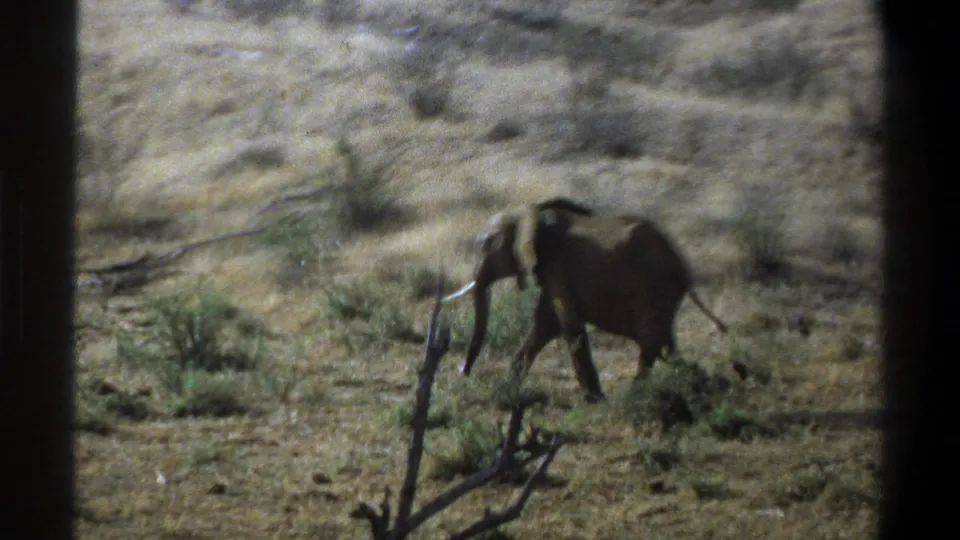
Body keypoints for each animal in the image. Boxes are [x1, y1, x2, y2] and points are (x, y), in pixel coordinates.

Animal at [444, 197, 729, 403]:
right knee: (665, 343)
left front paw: (593, 399)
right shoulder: (551, 270)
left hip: (653, 285)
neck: (530, 213)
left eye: (487, 244)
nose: (463, 372)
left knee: (652, 340)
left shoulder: (558, 265)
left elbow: (567, 324)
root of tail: (684, 267)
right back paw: (696, 385)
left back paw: (637, 395)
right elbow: (544, 324)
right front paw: (508, 385)